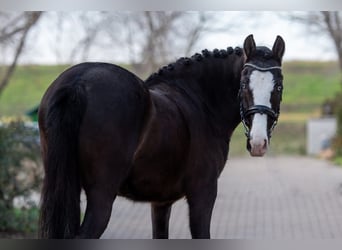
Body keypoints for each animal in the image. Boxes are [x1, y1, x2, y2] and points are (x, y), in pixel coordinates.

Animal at [37, 34, 284, 238]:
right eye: (243, 84)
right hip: (101, 195)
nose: (258, 142)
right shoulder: (203, 194)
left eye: (279, 87)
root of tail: (79, 81)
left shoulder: (160, 203)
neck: (200, 100)